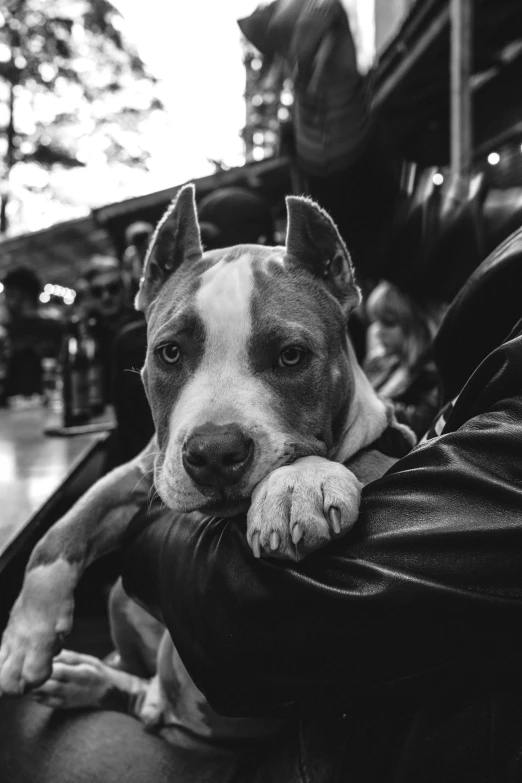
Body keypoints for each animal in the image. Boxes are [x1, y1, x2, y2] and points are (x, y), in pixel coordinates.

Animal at [0, 187, 412, 740]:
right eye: (169, 353)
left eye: (291, 356)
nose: (214, 453)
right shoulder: (143, 471)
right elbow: (63, 529)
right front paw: (26, 638)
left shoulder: (388, 453)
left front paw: (295, 486)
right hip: (119, 598)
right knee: (142, 683)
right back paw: (86, 680)